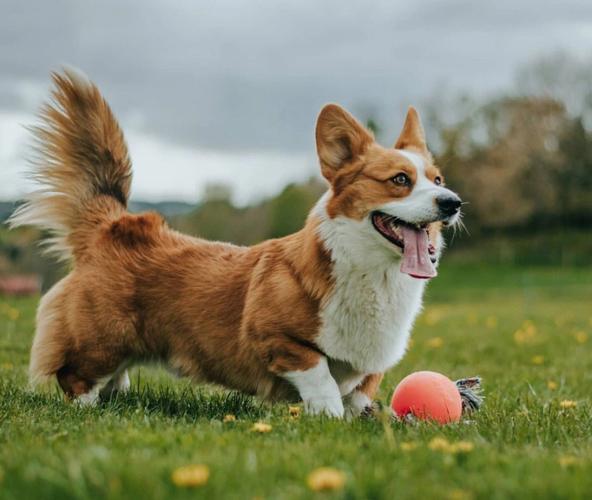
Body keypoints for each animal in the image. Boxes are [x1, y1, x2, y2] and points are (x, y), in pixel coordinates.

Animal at [10, 68, 462, 416]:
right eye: (400, 180)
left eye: (438, 179)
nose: (453, 202)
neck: (374, 274)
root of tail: (114, 224)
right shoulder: (277, 339)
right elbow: (321, 378)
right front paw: (328, 417)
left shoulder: (371, 365)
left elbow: (360, 392)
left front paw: (363, 419)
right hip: (102, 339)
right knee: (75, 375)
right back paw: (87, 411)